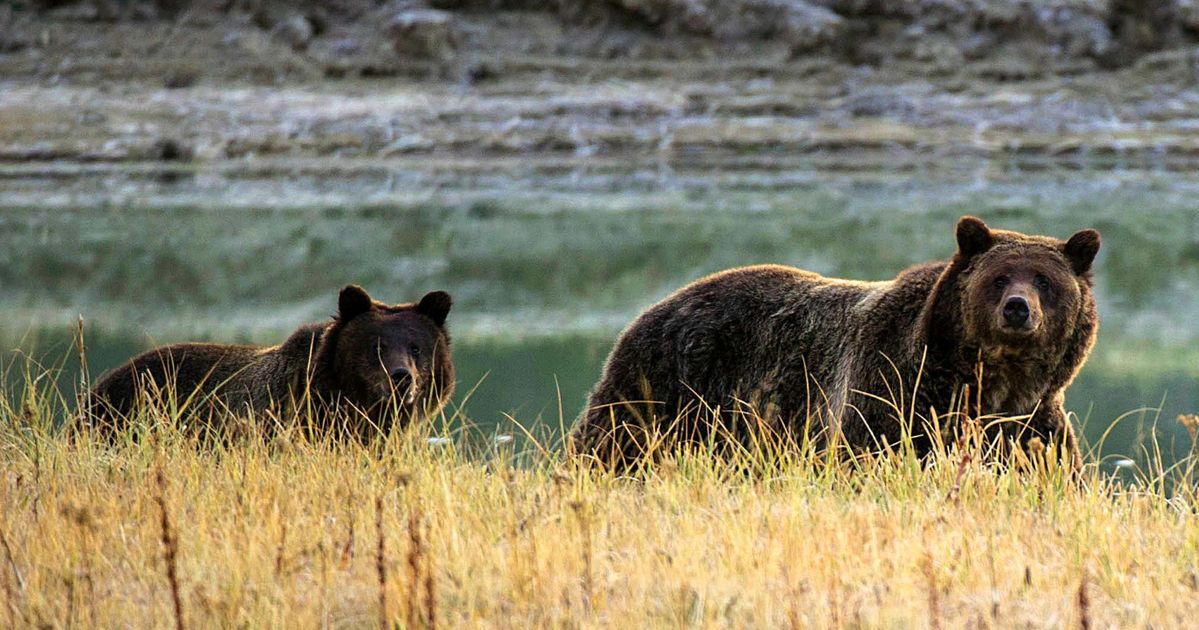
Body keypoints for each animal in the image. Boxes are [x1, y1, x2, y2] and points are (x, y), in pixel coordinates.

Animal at [570, 216, 1103, 465]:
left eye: (1044, 281)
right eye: (999, 277)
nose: (1018, 308)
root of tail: (651, 308)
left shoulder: (1031, 424)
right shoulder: (893, 394)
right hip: (665, 388)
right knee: (611, 445)